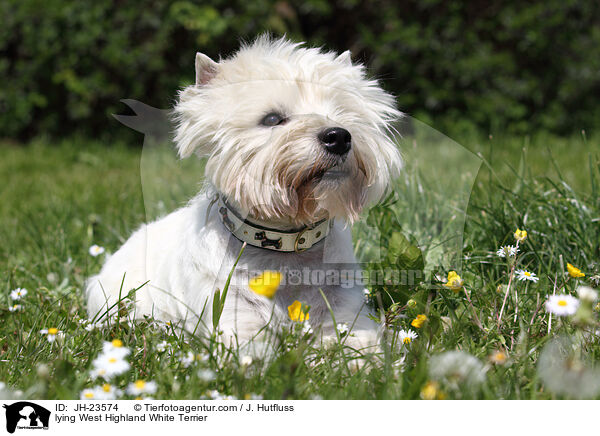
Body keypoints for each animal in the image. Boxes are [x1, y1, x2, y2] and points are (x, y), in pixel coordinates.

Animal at [85, 35, 404, 352]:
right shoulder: (232, 310)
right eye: (272, 119)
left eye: (344, 114)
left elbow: (357, 345)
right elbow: (251, 355)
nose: (338, 137)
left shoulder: (343, 305)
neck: (285, 247)